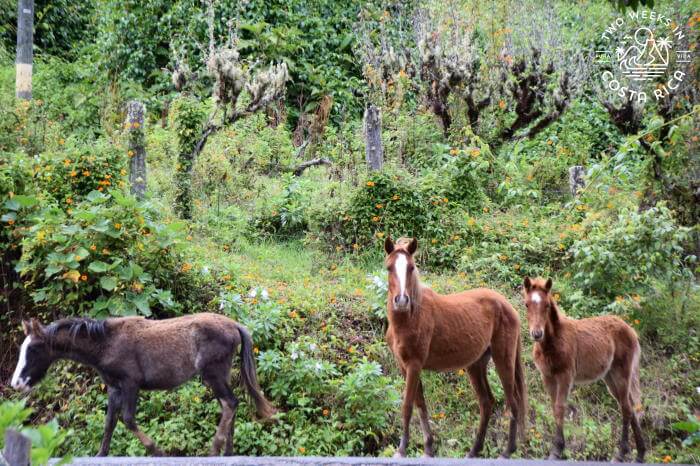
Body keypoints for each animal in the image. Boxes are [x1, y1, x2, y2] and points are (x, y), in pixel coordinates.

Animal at [10, 313, 275, 457]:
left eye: (34, 349)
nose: (16, 383)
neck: (106, 344)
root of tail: (235, 326)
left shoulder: (131, 384)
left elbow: (127, 419)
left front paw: (158, 451)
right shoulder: (115, 388)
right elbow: (110, 422)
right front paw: (101, 453)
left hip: (213, 375)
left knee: (230, 403)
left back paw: (214, 449)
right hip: (220, 376)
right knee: (231, 405)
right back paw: (228, 452)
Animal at [383, 237, 527, 458]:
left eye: (411, 267)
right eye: (389, 267)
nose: (401, 301)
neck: (411, 317)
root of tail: (508, 306)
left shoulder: (414, 365)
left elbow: (407, 406)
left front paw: (401, 450)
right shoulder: (404, 366)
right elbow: (420, 404)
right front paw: (428, 447)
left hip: (504, 360)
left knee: (513, 402)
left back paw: (507, 451)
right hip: (476, 365)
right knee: (487, 403)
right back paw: (474, 451)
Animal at [522, 277, 646, 462]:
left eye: (547, 305)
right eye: (527, 304)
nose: (537, 334)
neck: (553, 342)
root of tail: (630, 329)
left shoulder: (565, 376)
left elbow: (560, 407)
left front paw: (557, 450)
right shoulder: (547, 376)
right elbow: (554, 407)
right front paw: (557, 448)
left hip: (622, 374)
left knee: (626, 408)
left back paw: (621, 453)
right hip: (610, 377)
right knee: (630, 407)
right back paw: (640, 453)